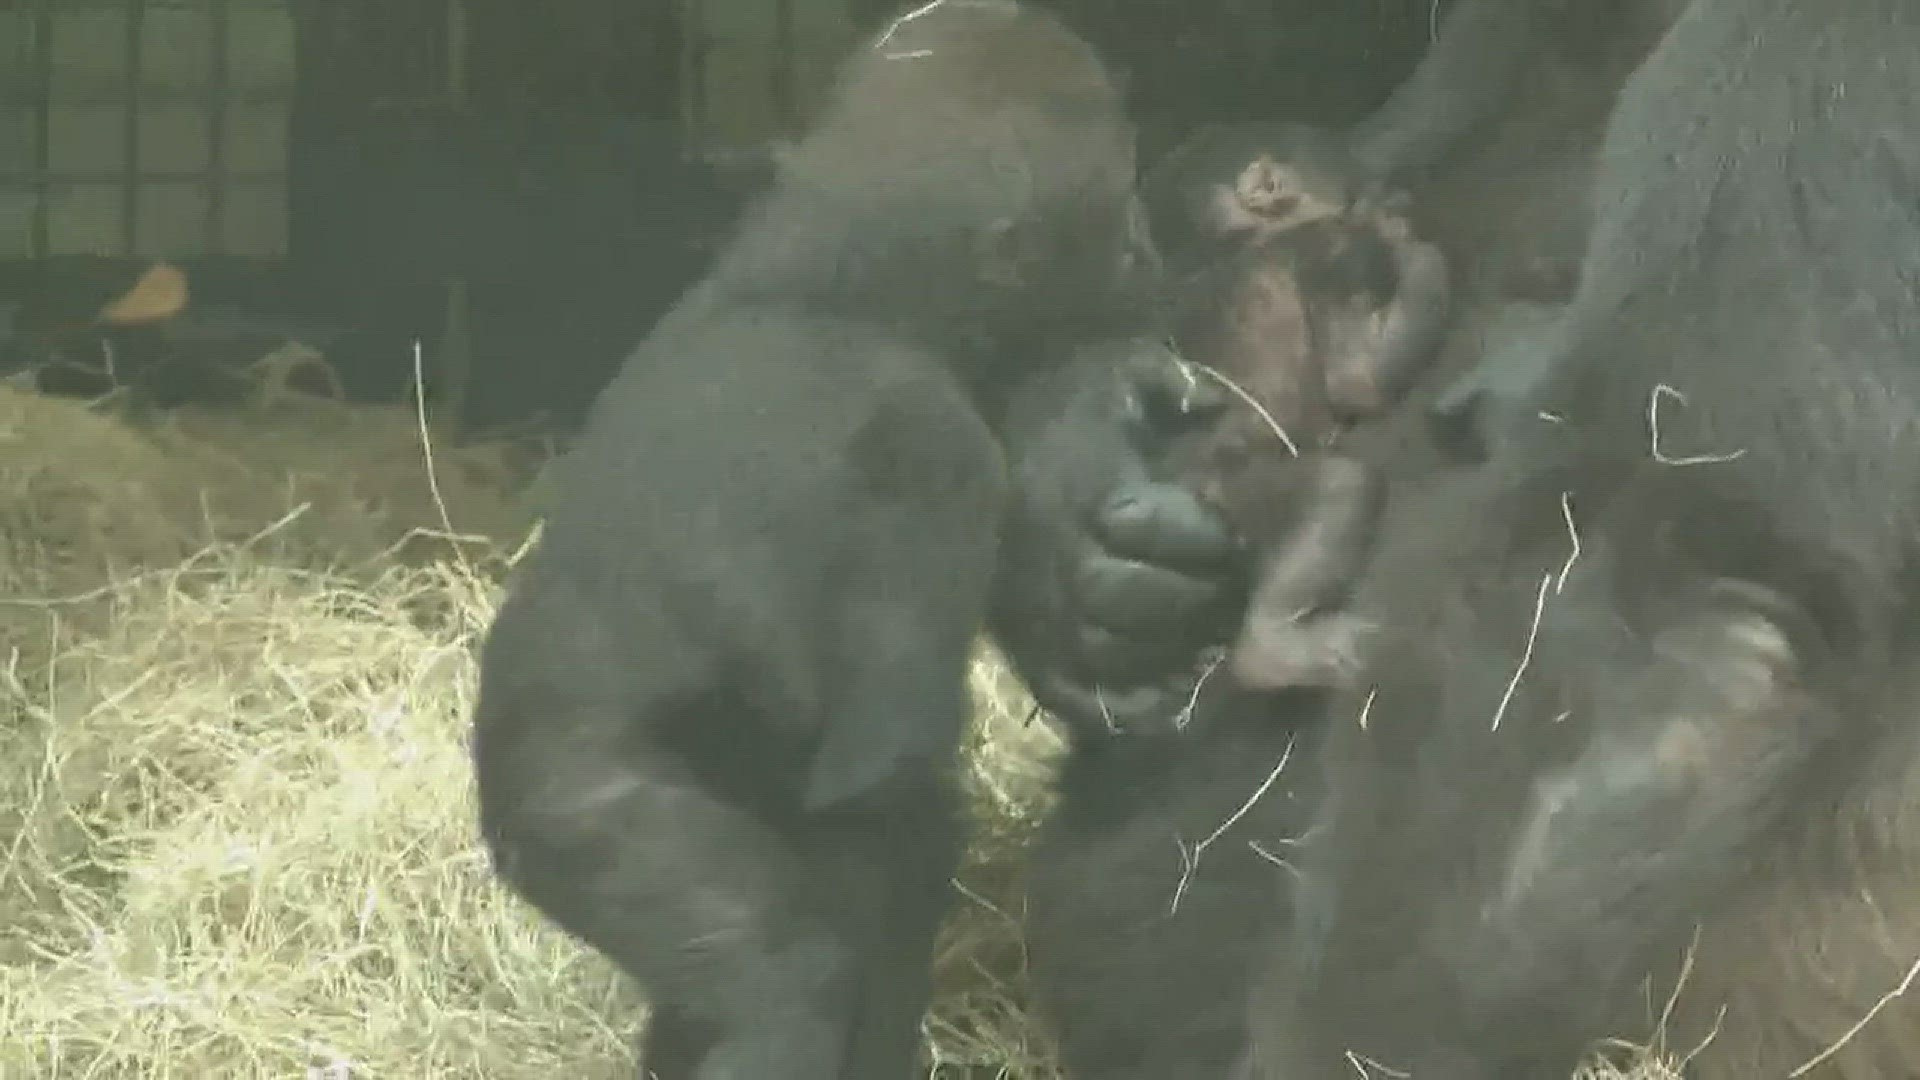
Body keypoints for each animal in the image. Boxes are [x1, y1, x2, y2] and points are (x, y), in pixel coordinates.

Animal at [464, 4, 1152, 1068]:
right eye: (1118, 204)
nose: (1148, 244)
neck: (819, 285)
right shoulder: (930, 449)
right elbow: (882, 800)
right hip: (577, 806)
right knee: (777, 972)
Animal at [1144, 119, 1443, 687]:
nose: (1366, 182)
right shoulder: (1330, 253)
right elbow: (1358, 379)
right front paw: (1405, 234)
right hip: (1227, 492)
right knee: (1339, 487)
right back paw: (1273, 649)